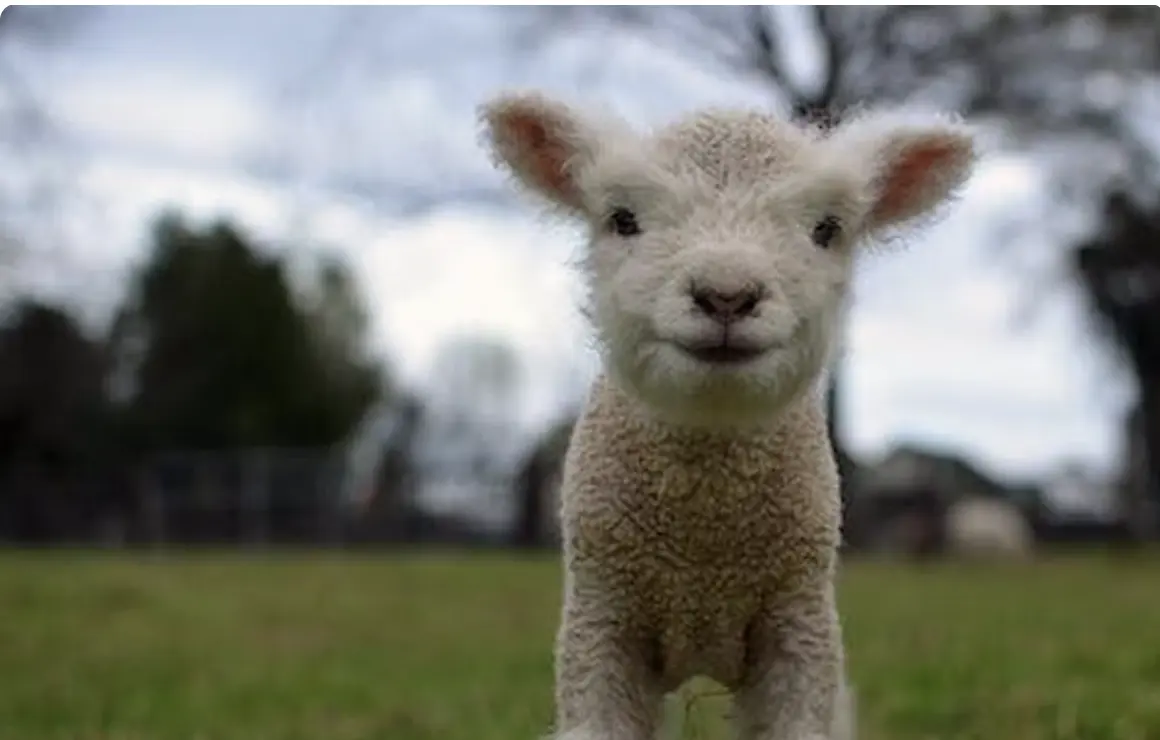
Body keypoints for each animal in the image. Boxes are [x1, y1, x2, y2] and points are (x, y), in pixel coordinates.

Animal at [478, 90, 978, 740]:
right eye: (622, 219)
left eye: (827, 229)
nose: (726, 295)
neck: (704, 551)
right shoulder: (600, 620)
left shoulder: (799, 624)